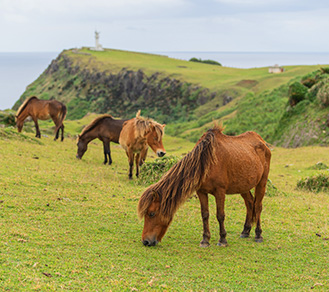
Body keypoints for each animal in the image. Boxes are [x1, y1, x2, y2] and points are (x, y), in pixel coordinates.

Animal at [137, 124, 270, 248]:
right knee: (250, 203)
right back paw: (245, 231)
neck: (206, 161)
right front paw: (205, 240)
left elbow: (220, 215)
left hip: (261, 183)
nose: (146, 241)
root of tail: (261, 141)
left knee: (258, 206)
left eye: (152, 213)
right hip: (243, 186)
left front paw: (222, 240)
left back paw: (258, 235)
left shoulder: (220, 192)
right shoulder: (201, 192)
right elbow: (205, 215)